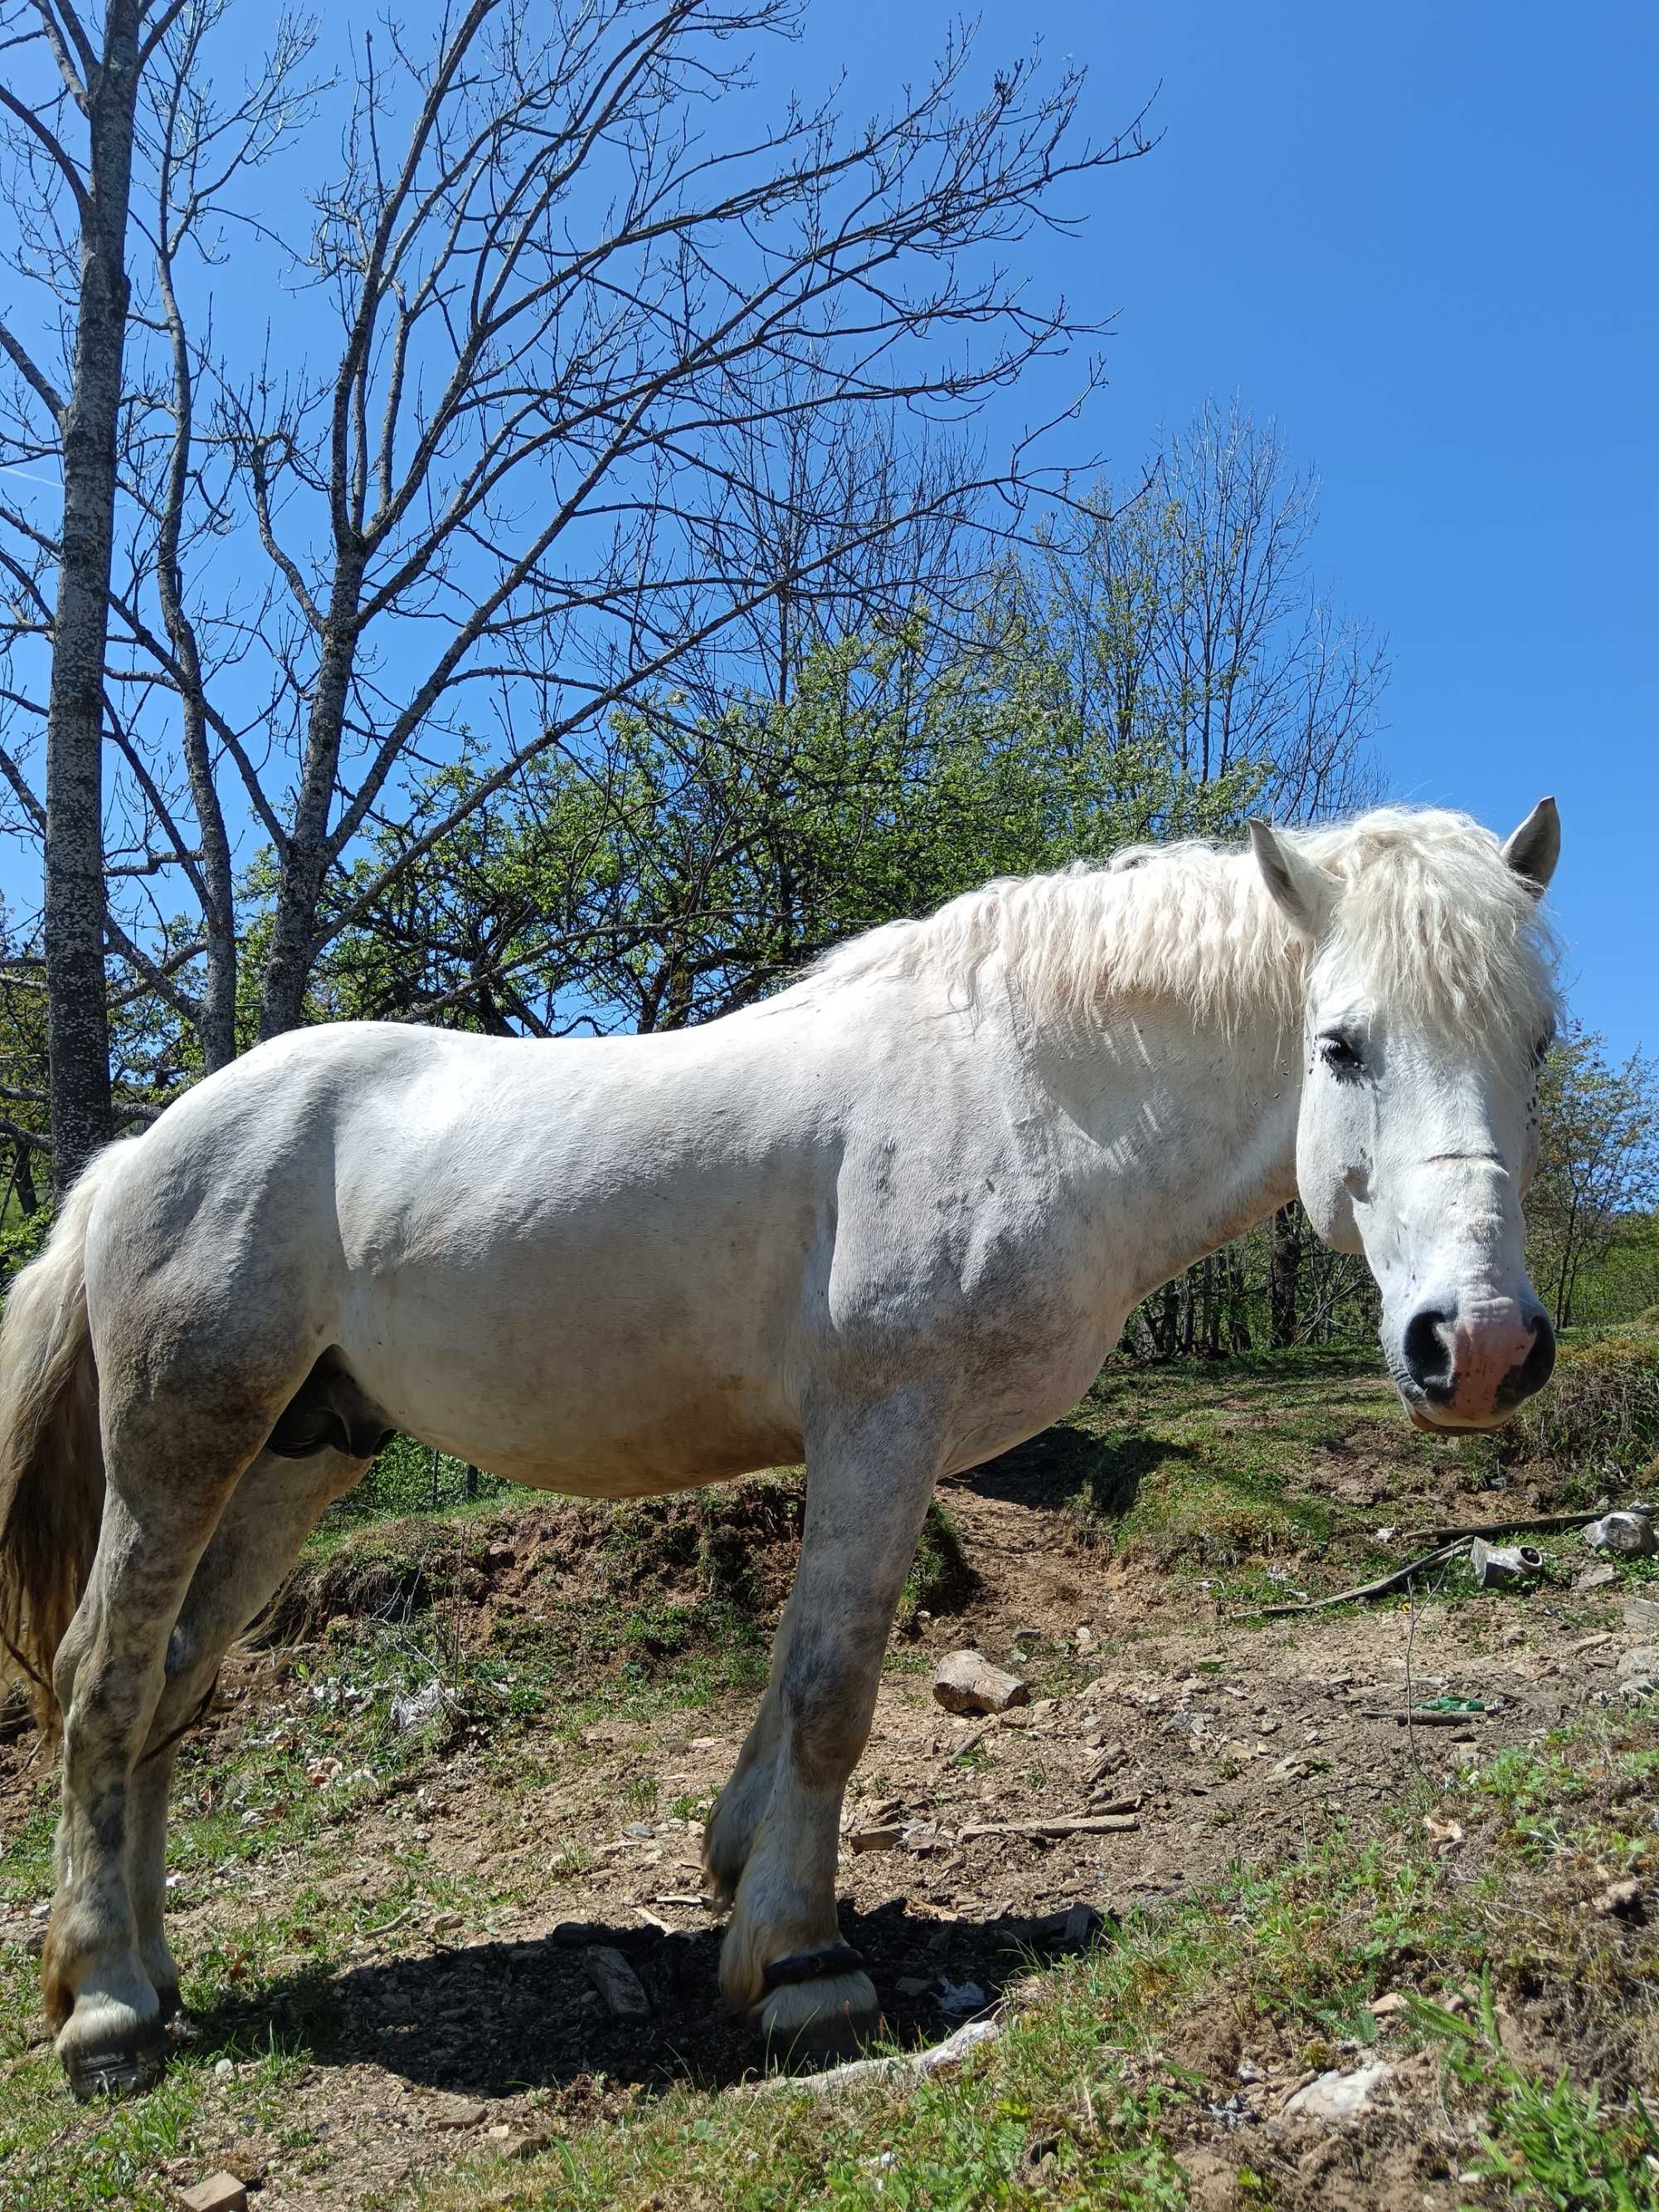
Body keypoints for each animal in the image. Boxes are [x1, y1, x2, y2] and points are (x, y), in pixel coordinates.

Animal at [0, 800, 1566, 2088]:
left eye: (1533, 1044)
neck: (1022, 1084)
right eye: (1342, 1043)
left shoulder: (867, 1442)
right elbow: (831, 1689)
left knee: (171, 1683)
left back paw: (145, 1966)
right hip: (182, 1444)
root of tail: (138, 1155)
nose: (1480, 1346)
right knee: (104, 1675)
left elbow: (794, 1673)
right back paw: (107, 2010)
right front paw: (805, 1963)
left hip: (296, 1454)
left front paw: (740, 1880)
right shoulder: (883, 1415)